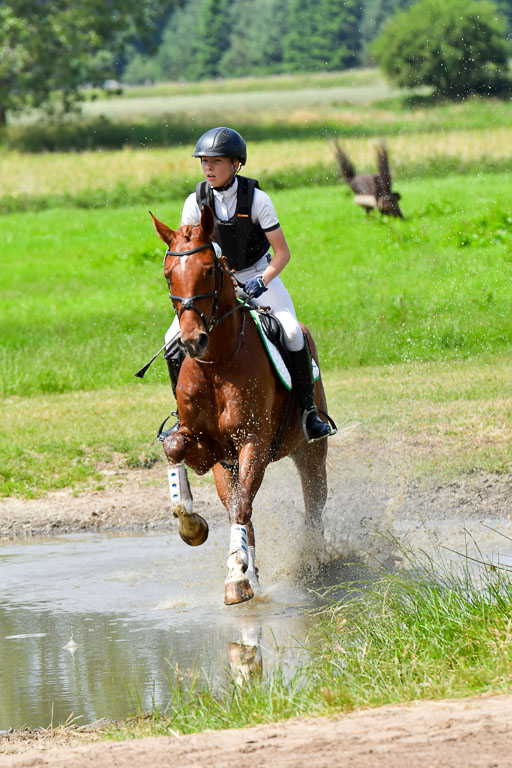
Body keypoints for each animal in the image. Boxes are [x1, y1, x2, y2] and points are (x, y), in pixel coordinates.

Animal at [150, 203, 331, 605]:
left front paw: (235, 577)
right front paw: (192, 526)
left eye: (208, 270)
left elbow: (243, 504)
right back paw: (253, 572)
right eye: (169, 275)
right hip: (228, 464)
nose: (192, 340)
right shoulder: (211, 450)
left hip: (310, 450)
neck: (216, 363)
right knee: (239, 506)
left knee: (313, 501)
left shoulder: (254, 442)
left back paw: (310, 558)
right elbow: (175, 448)